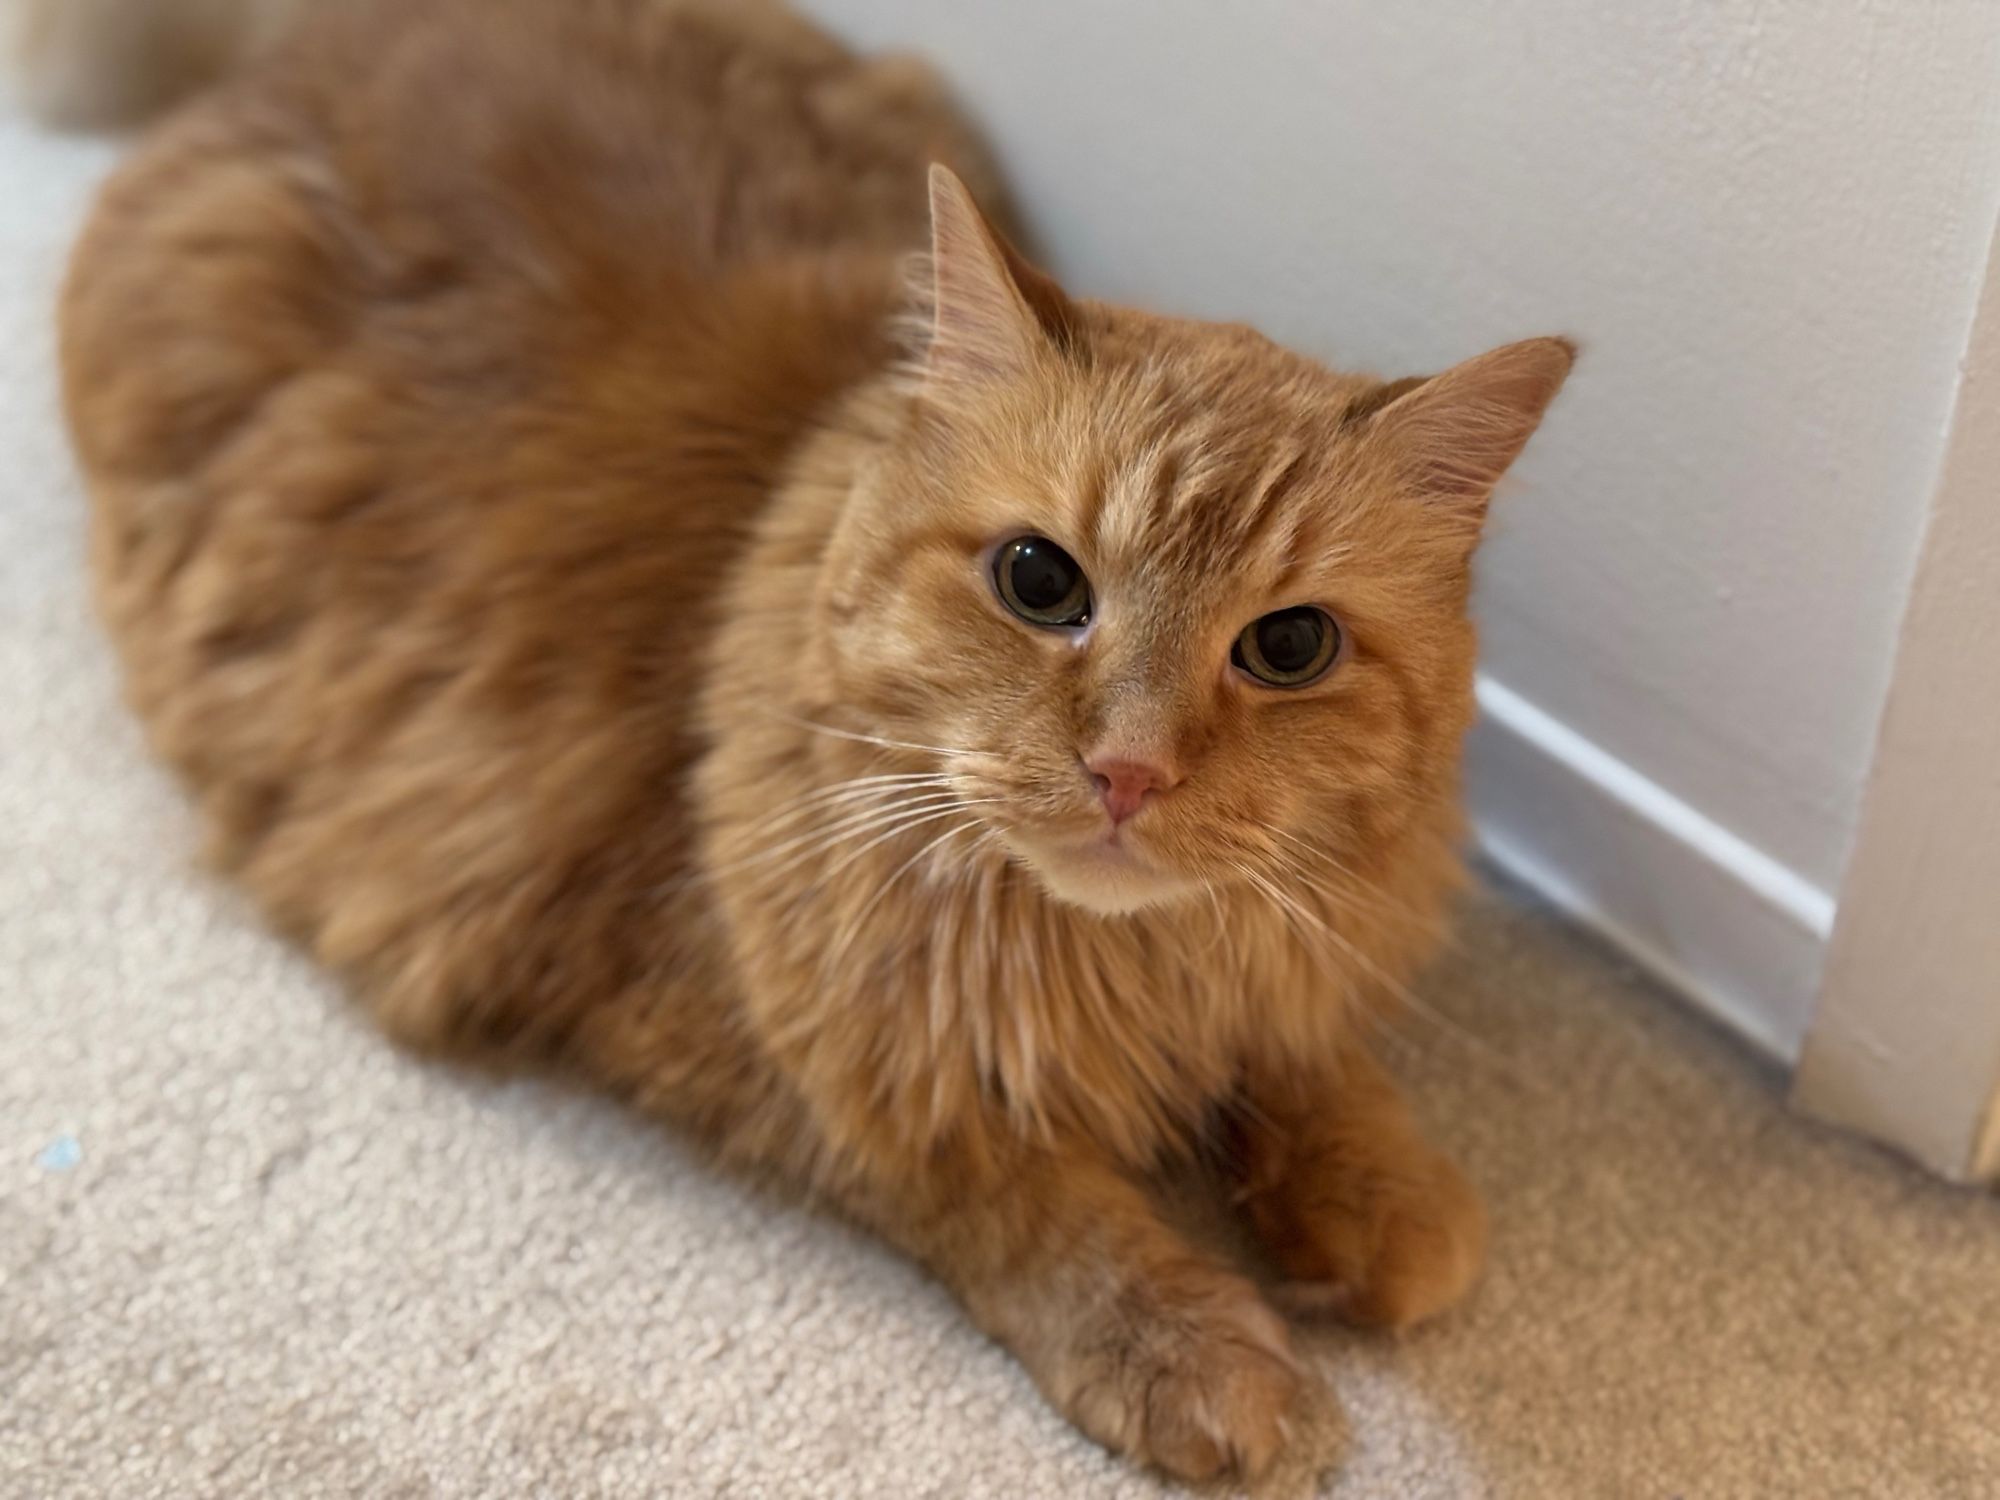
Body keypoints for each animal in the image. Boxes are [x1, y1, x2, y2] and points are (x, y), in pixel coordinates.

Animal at [47, 0, 1568, 1480]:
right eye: (1039, 582)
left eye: (1288, 649)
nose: (1130, 773)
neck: (1129, 971)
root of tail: (312, 27)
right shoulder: (737, 1019)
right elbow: (1009, 1188)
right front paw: (1184, 1345)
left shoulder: (1277, 956)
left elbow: (1311, 1057)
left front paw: (1379, 1191)